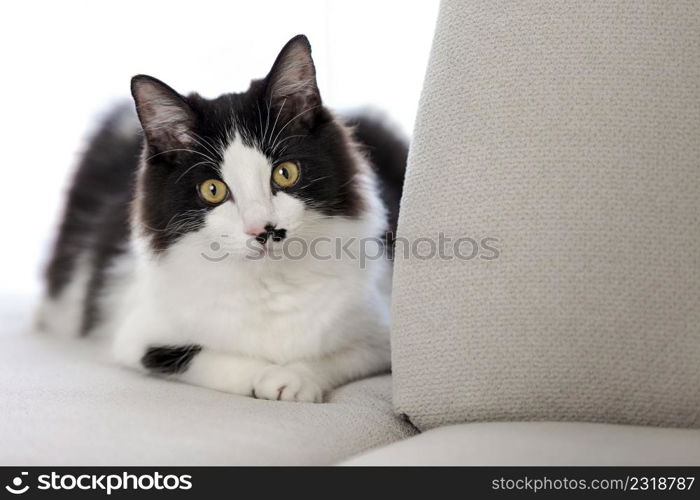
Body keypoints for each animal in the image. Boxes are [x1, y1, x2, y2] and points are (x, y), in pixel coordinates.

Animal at [38, 34, 408, 402]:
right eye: (213, 189)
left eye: (285, 173)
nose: (264, 230)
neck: (271, 282)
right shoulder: (139, 337)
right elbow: (205, 359)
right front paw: (266, 376)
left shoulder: (383, 333)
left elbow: (342, 354)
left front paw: (296, 377)